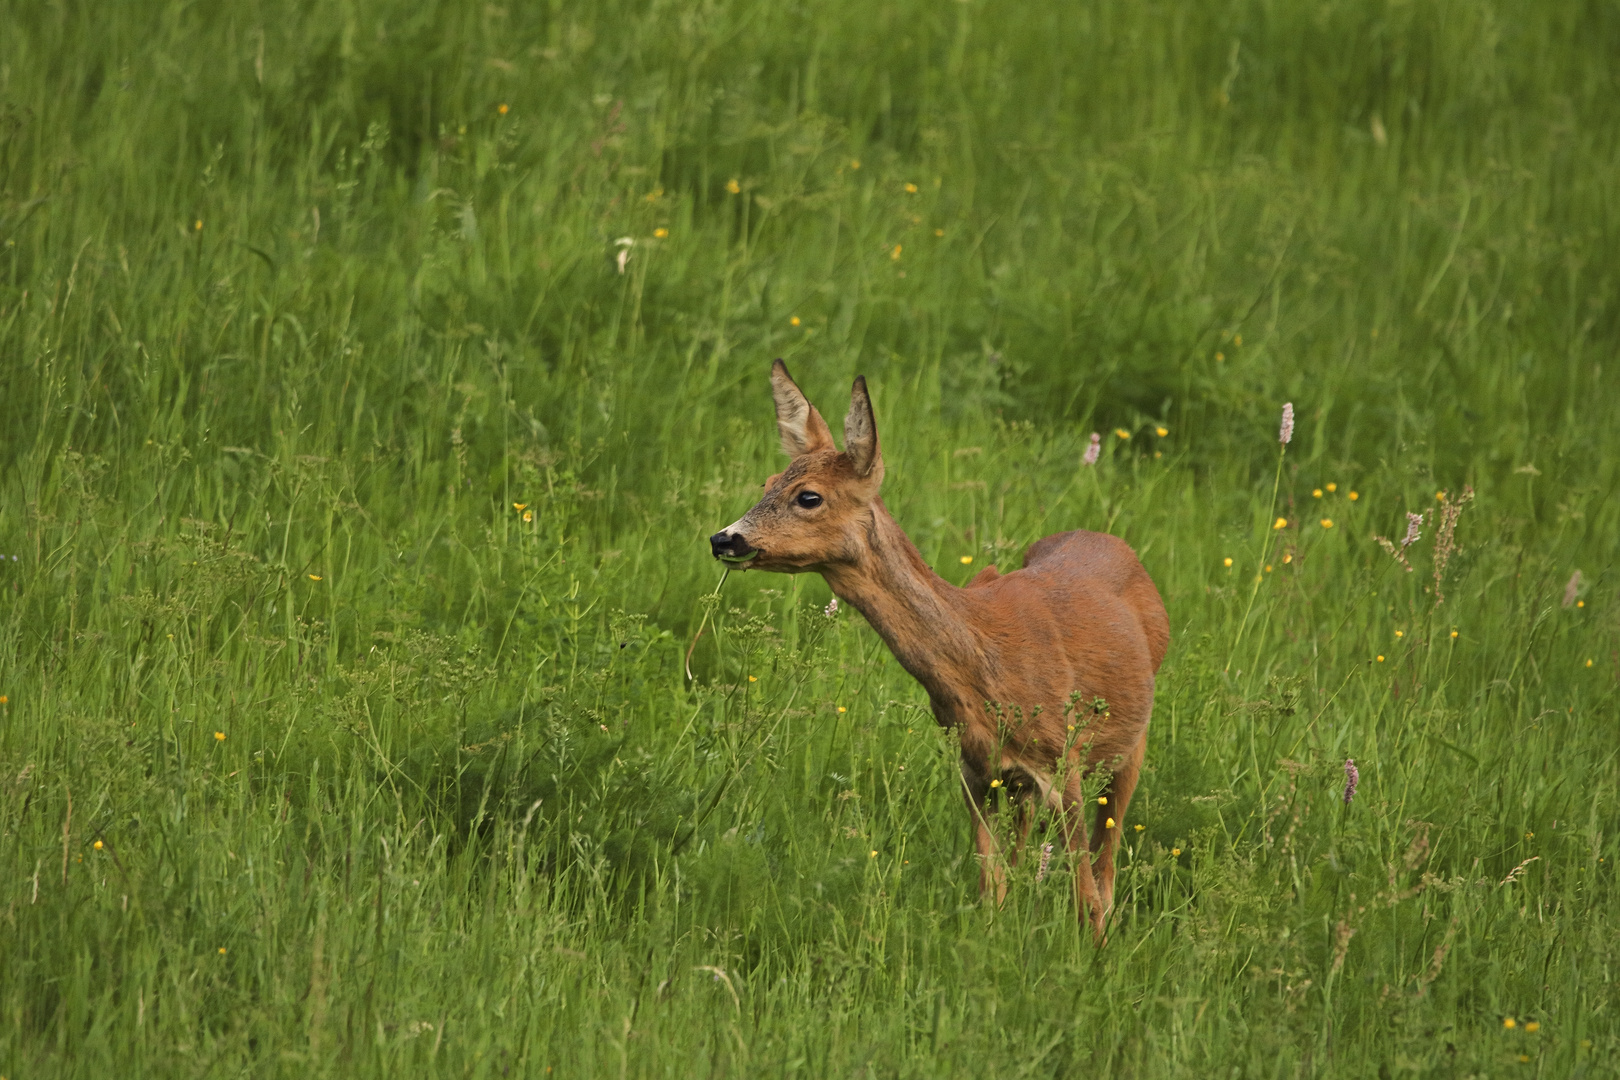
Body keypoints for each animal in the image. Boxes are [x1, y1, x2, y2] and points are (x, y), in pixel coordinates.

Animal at [709, 361, 1166, 939]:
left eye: (808, 496)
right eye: (768, 483)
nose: (724, 538)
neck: (983, 665)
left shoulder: (1065, 758)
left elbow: (1085, 896)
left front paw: (1093, 956)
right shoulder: (975, 767)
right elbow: (991, 887)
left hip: (1132, 745)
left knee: (1106, 869)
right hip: (1022, 786)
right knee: (1027, 855)